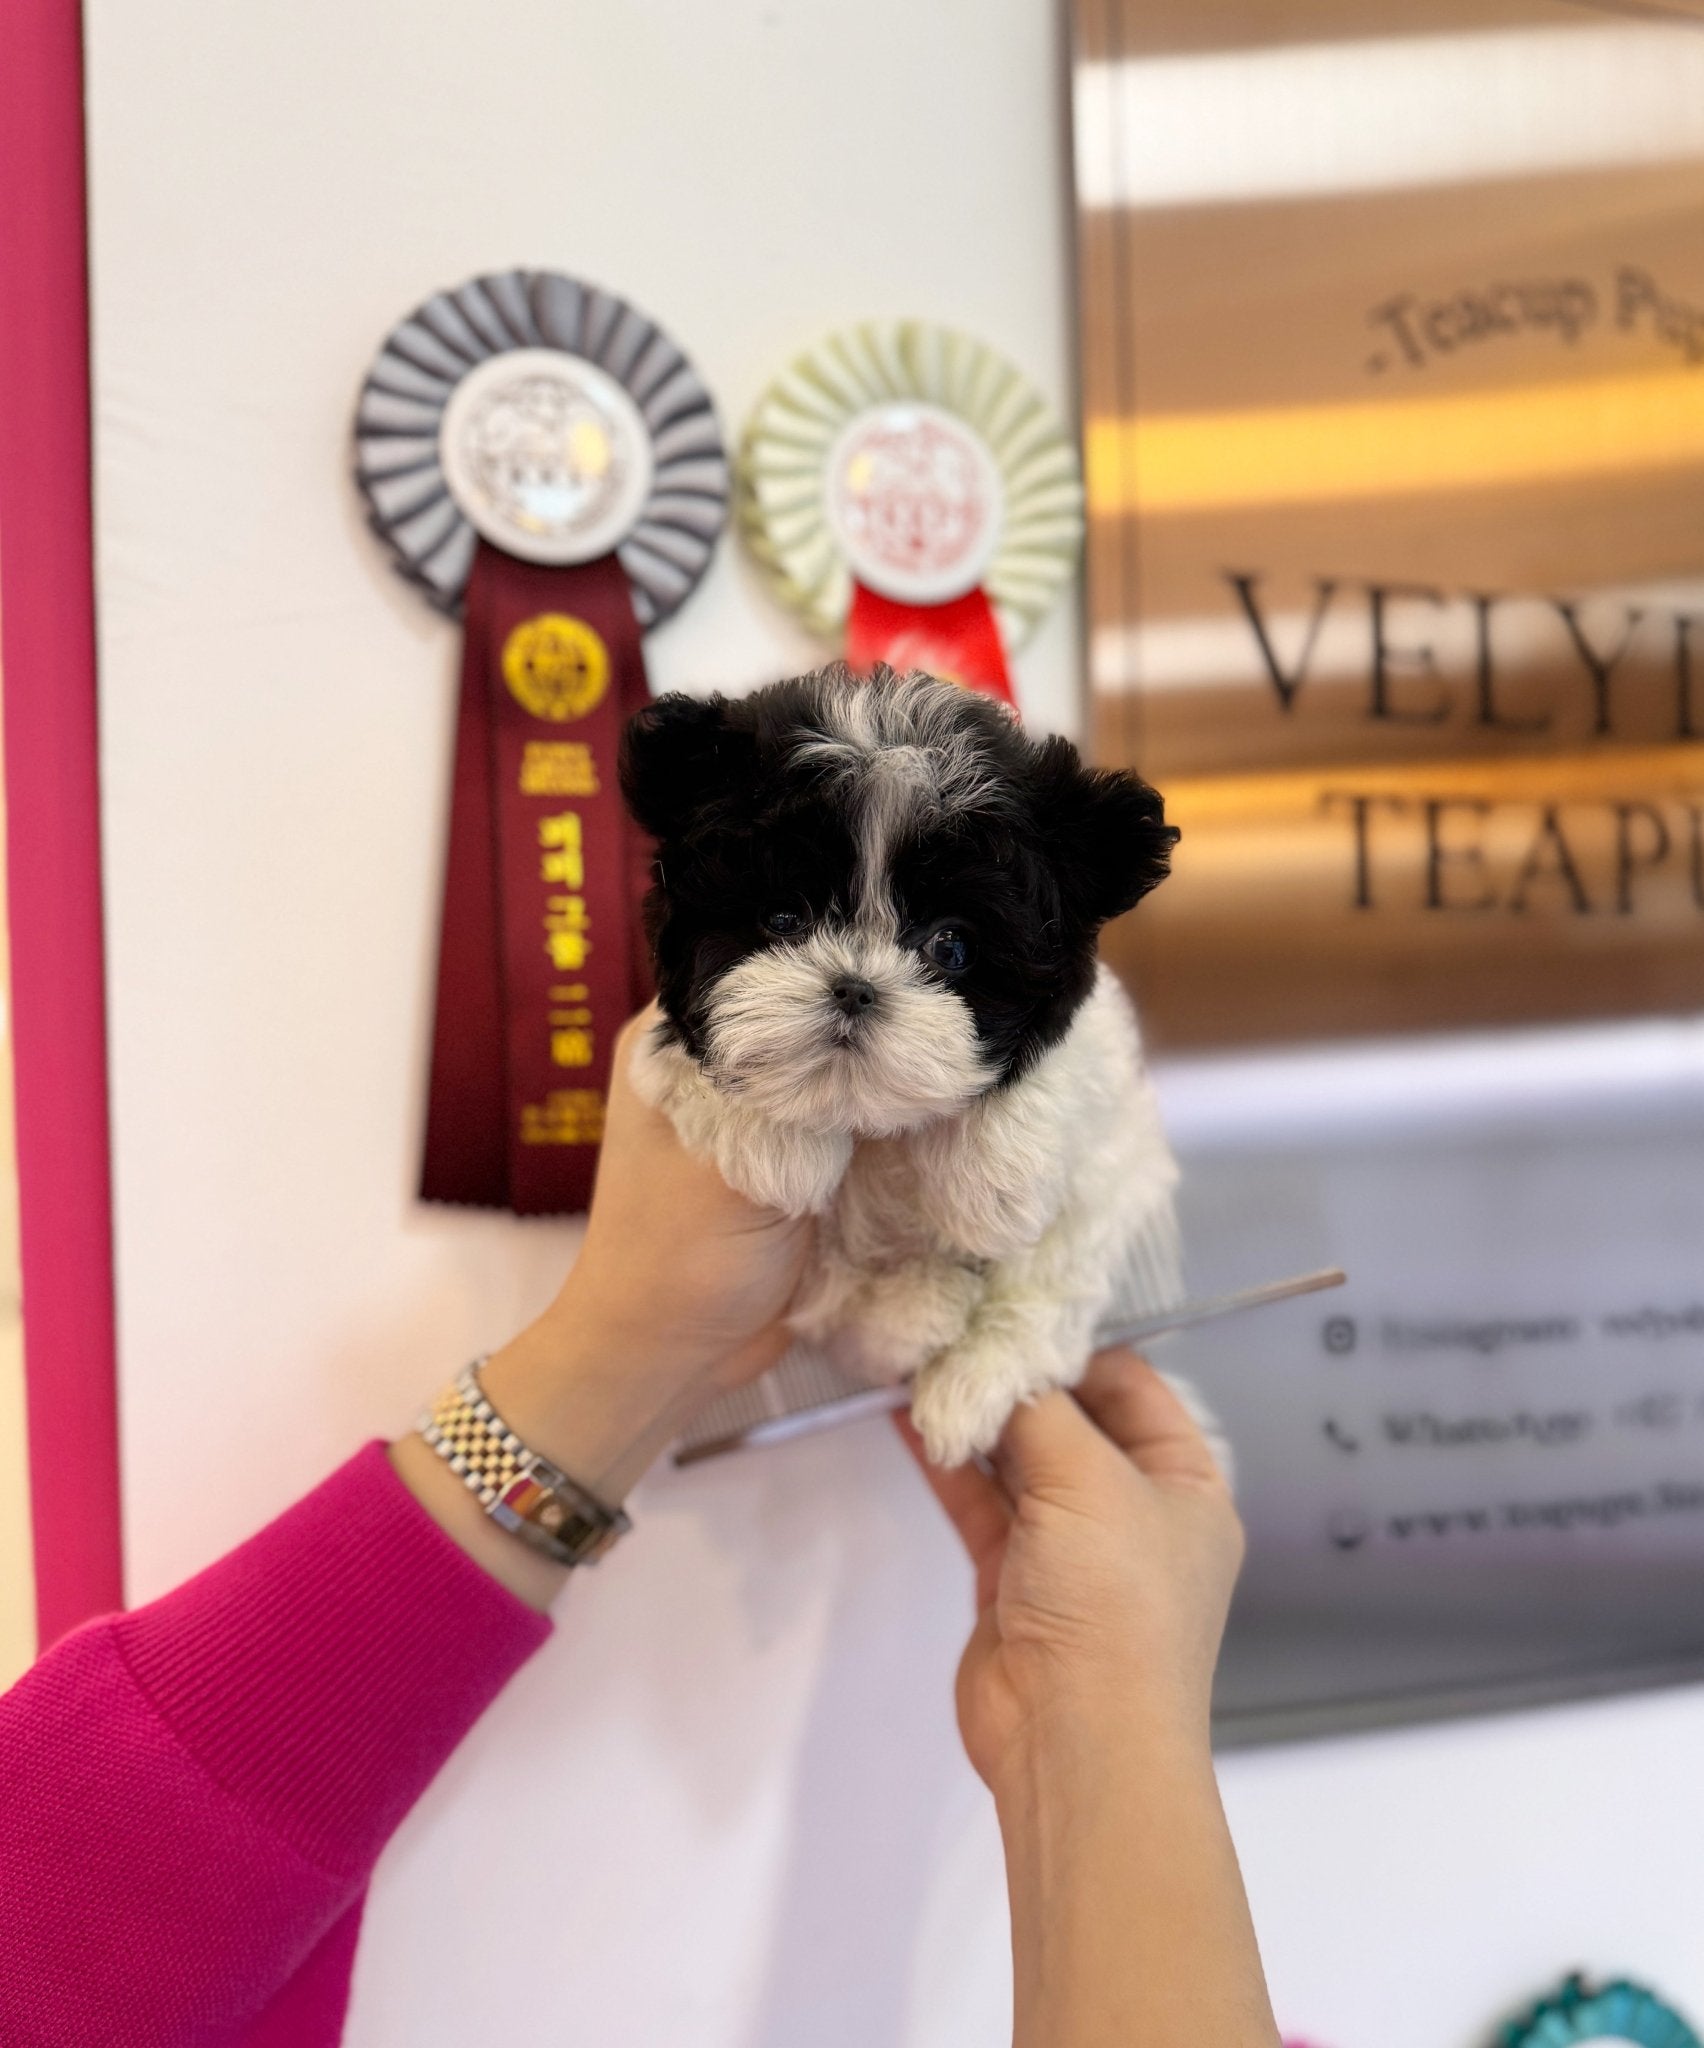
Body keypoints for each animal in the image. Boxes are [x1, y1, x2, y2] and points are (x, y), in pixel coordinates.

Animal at [622, 663, 1187, 1466]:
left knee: (1041, 1302)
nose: (854, 987)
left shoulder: (1100, 1073)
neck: (869, 1121)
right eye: (784, 919)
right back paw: (924, 1307)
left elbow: (1042, 1072)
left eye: (951, 946)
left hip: (1101, 1213)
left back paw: (964, 1388)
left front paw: (990, 1185)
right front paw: (775, 1142)